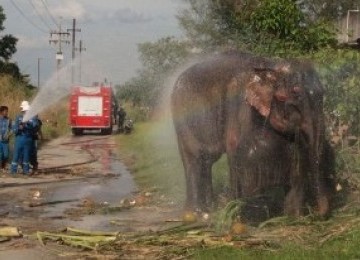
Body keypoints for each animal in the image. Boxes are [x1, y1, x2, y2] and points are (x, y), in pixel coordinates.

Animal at [172, 50, 334, 217]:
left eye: (322, 93)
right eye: (293, 94)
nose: (314, 211)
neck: (270, 66)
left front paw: (293, 217)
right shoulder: (238, 106)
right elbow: (233, 149)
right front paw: (235, 213)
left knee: (207, 161)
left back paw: (210, 208)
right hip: (182, 119)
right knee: (193, 159)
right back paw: (195, 213)